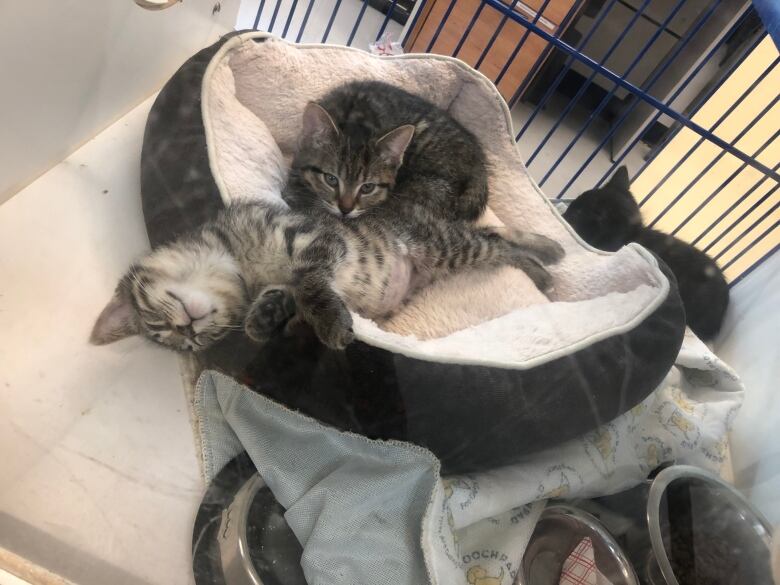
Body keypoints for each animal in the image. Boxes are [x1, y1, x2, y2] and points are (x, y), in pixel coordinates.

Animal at [91, 198, 564, 350]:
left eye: (155, 318)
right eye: (187, 345)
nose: (187, 330)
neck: (240, 262)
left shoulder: (315, 237)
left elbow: (307, 281)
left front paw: (331, 322)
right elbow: (284, 294)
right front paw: (262, 319)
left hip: (443, 246)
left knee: (500, 245)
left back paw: (544, 267)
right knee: (494, 233)